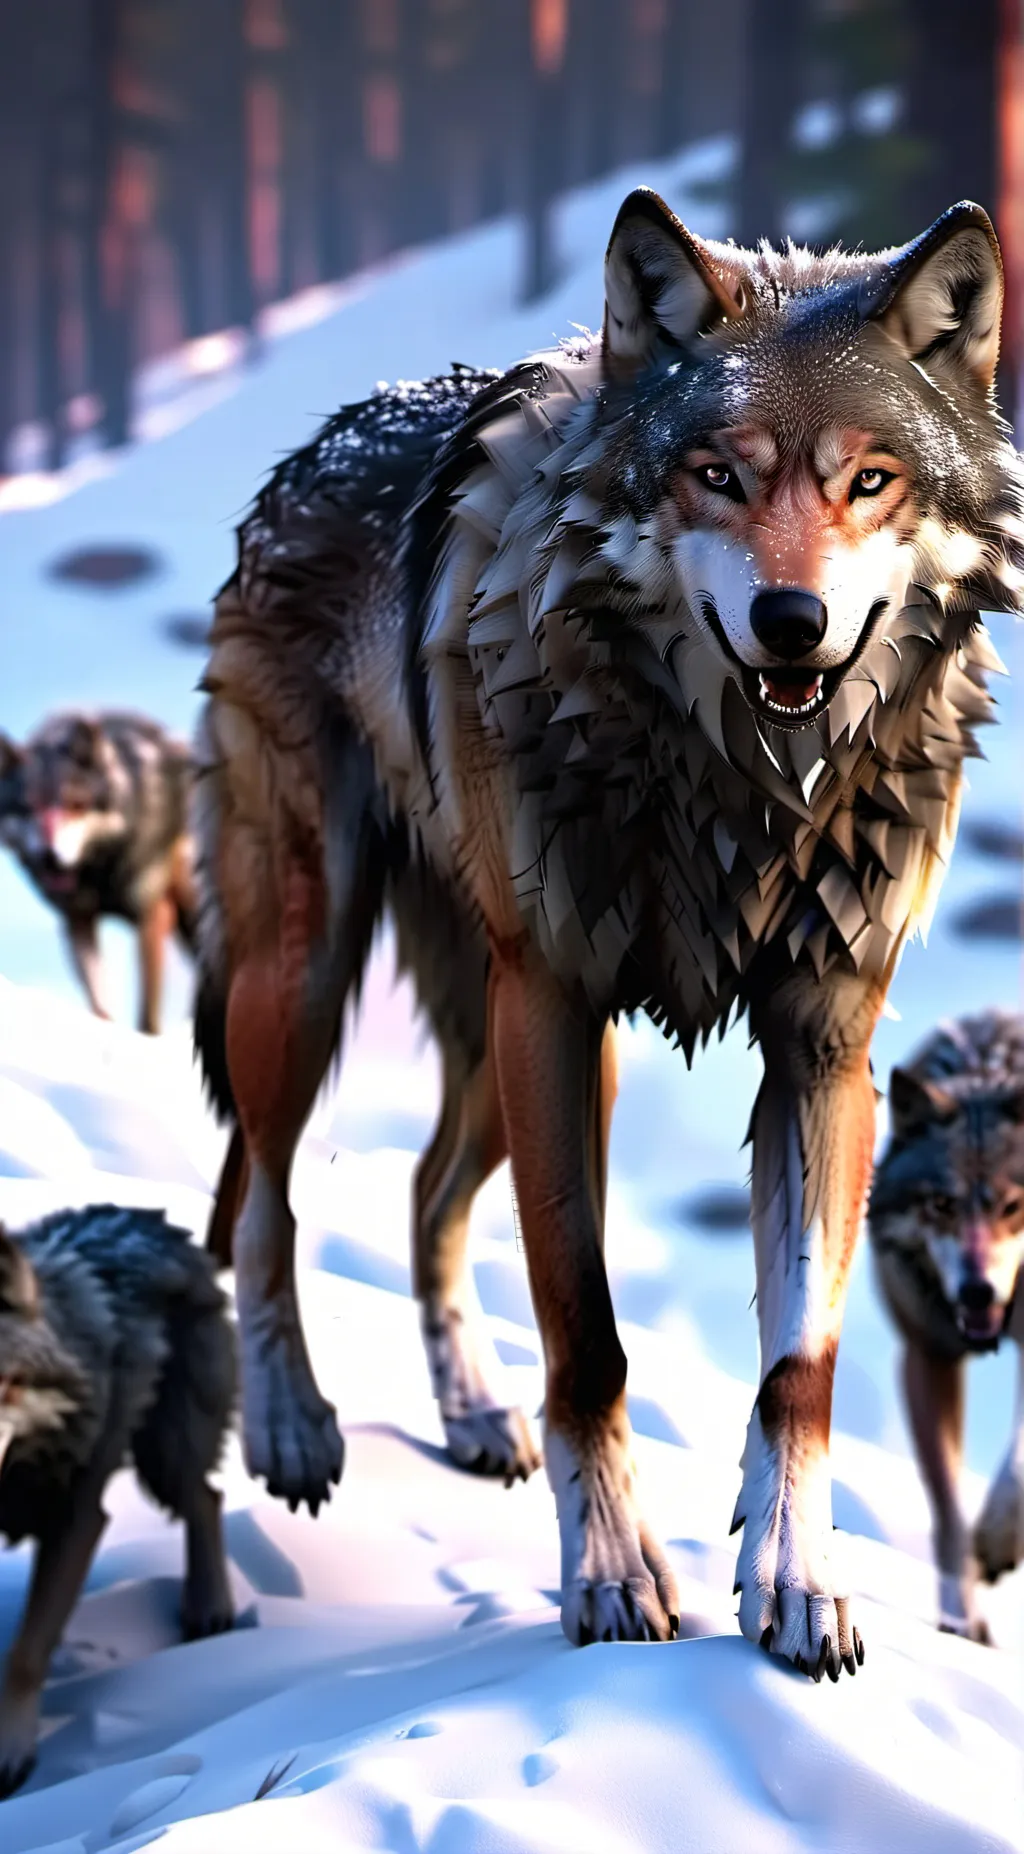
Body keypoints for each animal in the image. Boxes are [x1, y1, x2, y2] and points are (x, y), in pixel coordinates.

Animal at [0, 711, 196, 1034]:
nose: (49, 857)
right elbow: (98, 1002)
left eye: (75, 805)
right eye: (27, 809)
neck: (100, 873)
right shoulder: (77, 921)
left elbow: (147, 1015)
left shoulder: (152, 914)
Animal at [0, 1203, 236, 1796]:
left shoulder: (77, 1518)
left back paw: (210, 1609)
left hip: (166, 1451)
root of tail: (145, 1217)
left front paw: (11, 1751)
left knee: (207, 1496)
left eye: (6, 1383)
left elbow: (26, 1653)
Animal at [193, 188, 1024, 1681]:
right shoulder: (555, 1006)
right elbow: (587, 1334)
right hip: (315, 978)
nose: (792, 621)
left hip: (519, 1049)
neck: (742, 794)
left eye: (871, 481)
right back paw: (290, 1423)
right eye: (716, 475)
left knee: (422, 1197)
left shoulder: (824, 1049)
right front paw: (615, 1577)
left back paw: (472, 1412)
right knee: (262, 1197)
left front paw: (795, 1580)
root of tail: (309, 452)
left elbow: (797, 1366)